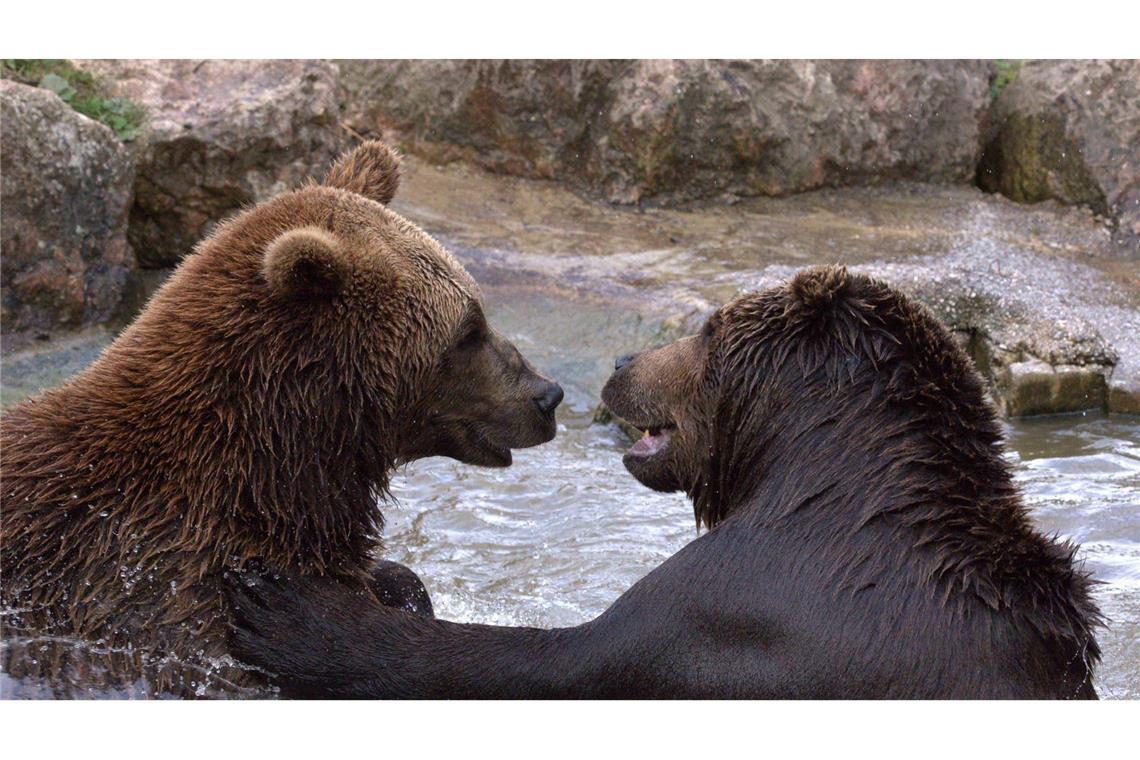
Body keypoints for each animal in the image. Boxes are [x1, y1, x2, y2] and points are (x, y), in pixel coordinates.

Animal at [224, 267, 1103, 701]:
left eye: (708, 327)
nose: (620, 360)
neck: (820, 480)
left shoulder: (741, 609)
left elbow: (555, 660)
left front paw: (287, 608)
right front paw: (395, 583)